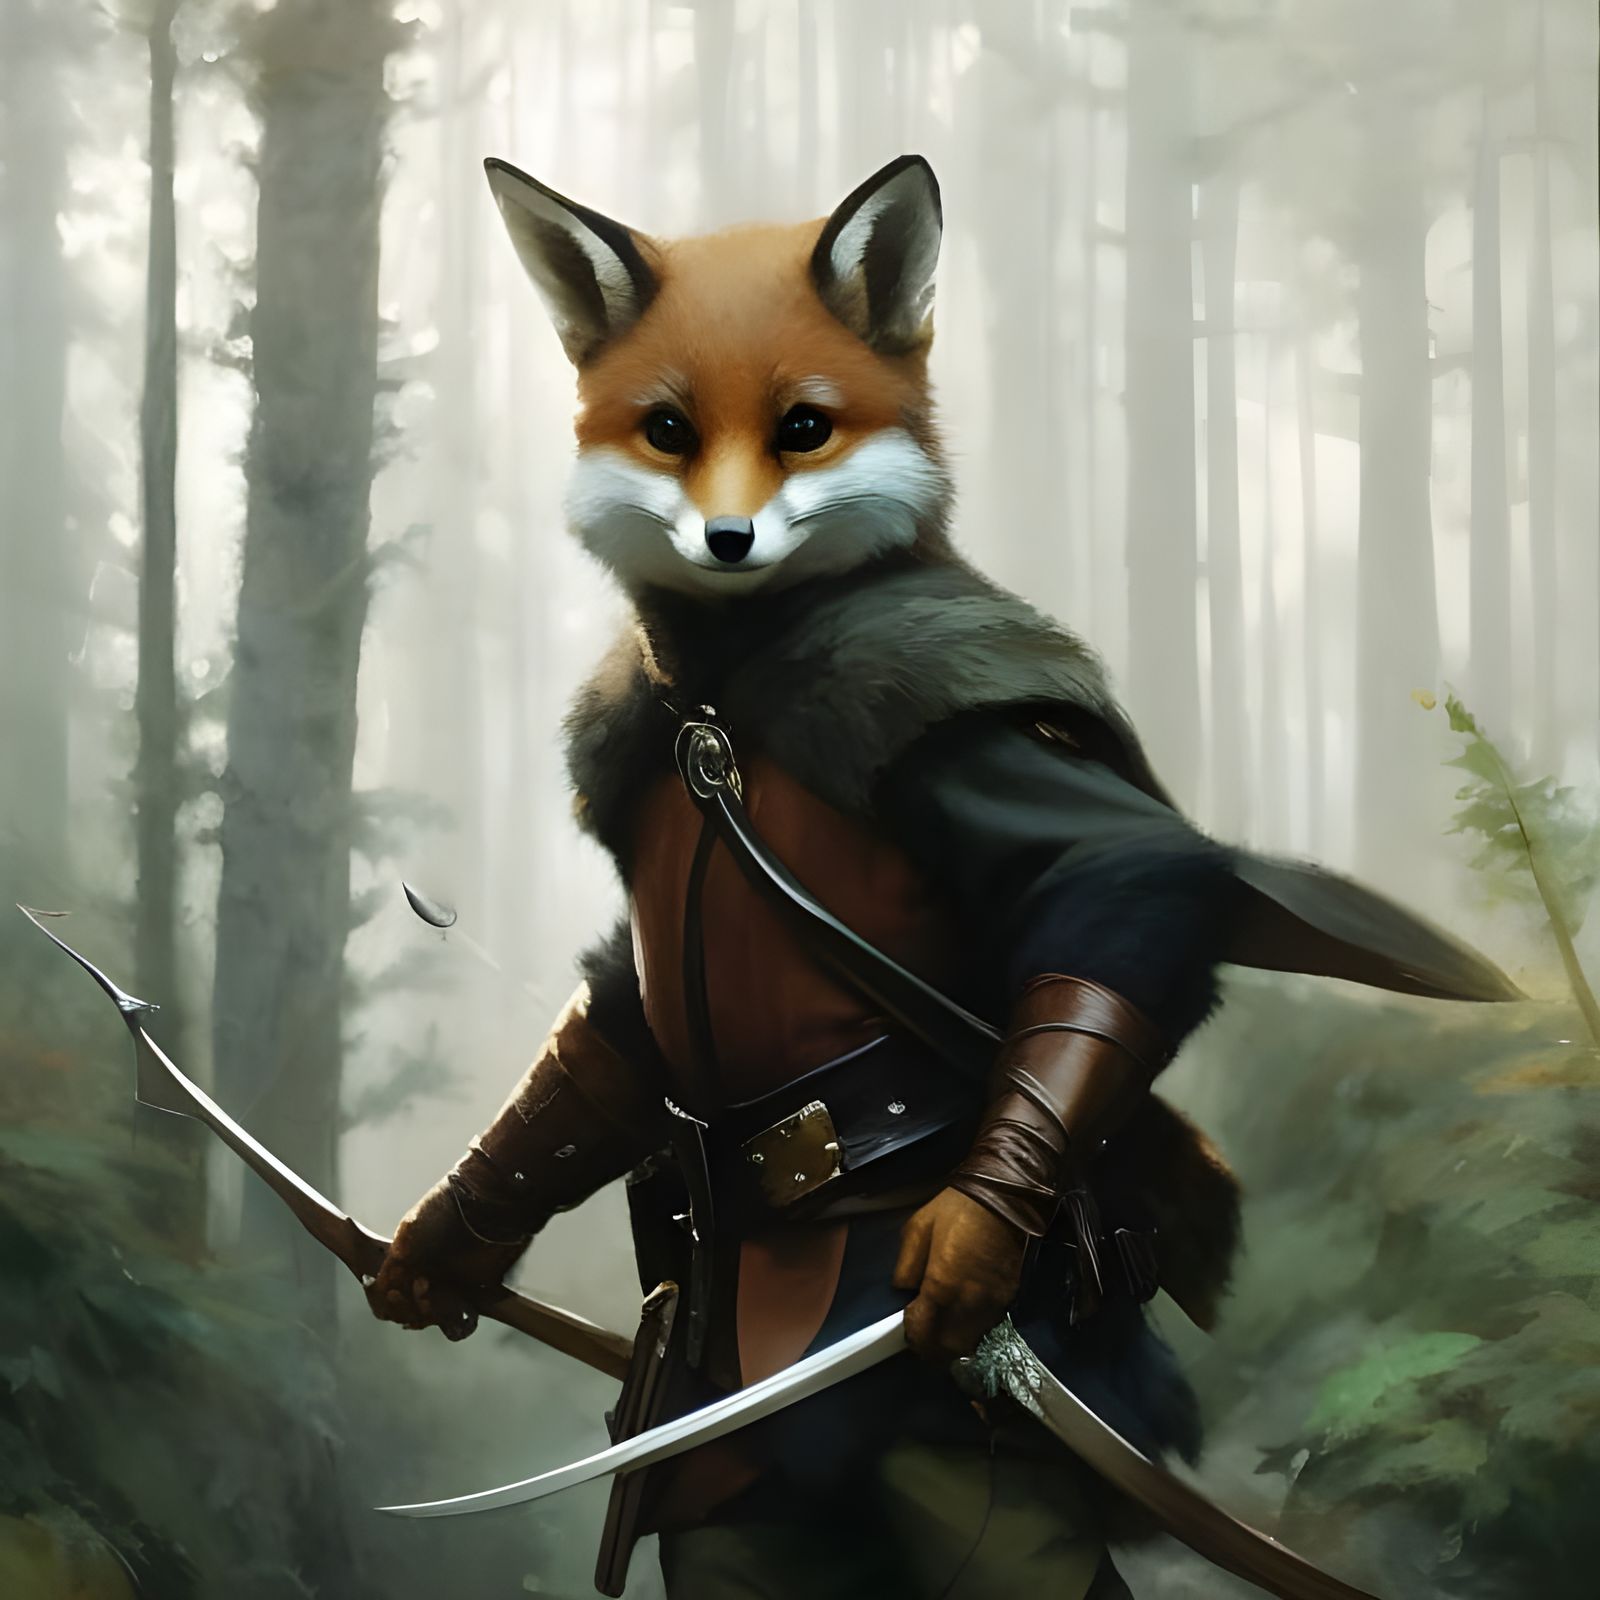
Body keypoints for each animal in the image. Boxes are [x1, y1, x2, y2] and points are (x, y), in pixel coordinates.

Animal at [367, 154, 1516, 1600]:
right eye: (666, 428)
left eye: (805, 426)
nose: (728, 539)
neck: (727, 691)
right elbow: (612, 1037)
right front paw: (447, 1239)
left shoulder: (967, 726)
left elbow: (1124, 877)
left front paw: (966, 1238)